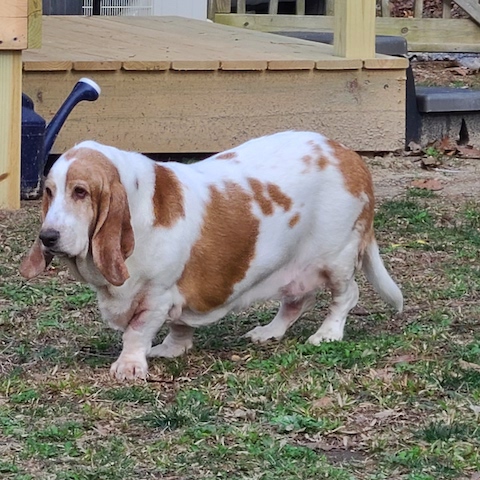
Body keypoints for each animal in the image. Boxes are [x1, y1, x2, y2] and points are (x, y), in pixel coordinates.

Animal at [20, 130, 404, 378]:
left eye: (80, 191)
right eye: (50, 192)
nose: (48, 237)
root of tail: (348, 156)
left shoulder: (156, 294)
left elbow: (137, 332)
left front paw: (129, 366)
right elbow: (178, 326)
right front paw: (172, 349)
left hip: (337, 258)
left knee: (346, 296)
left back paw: (327, 334)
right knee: (297, 301)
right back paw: (269, 331)